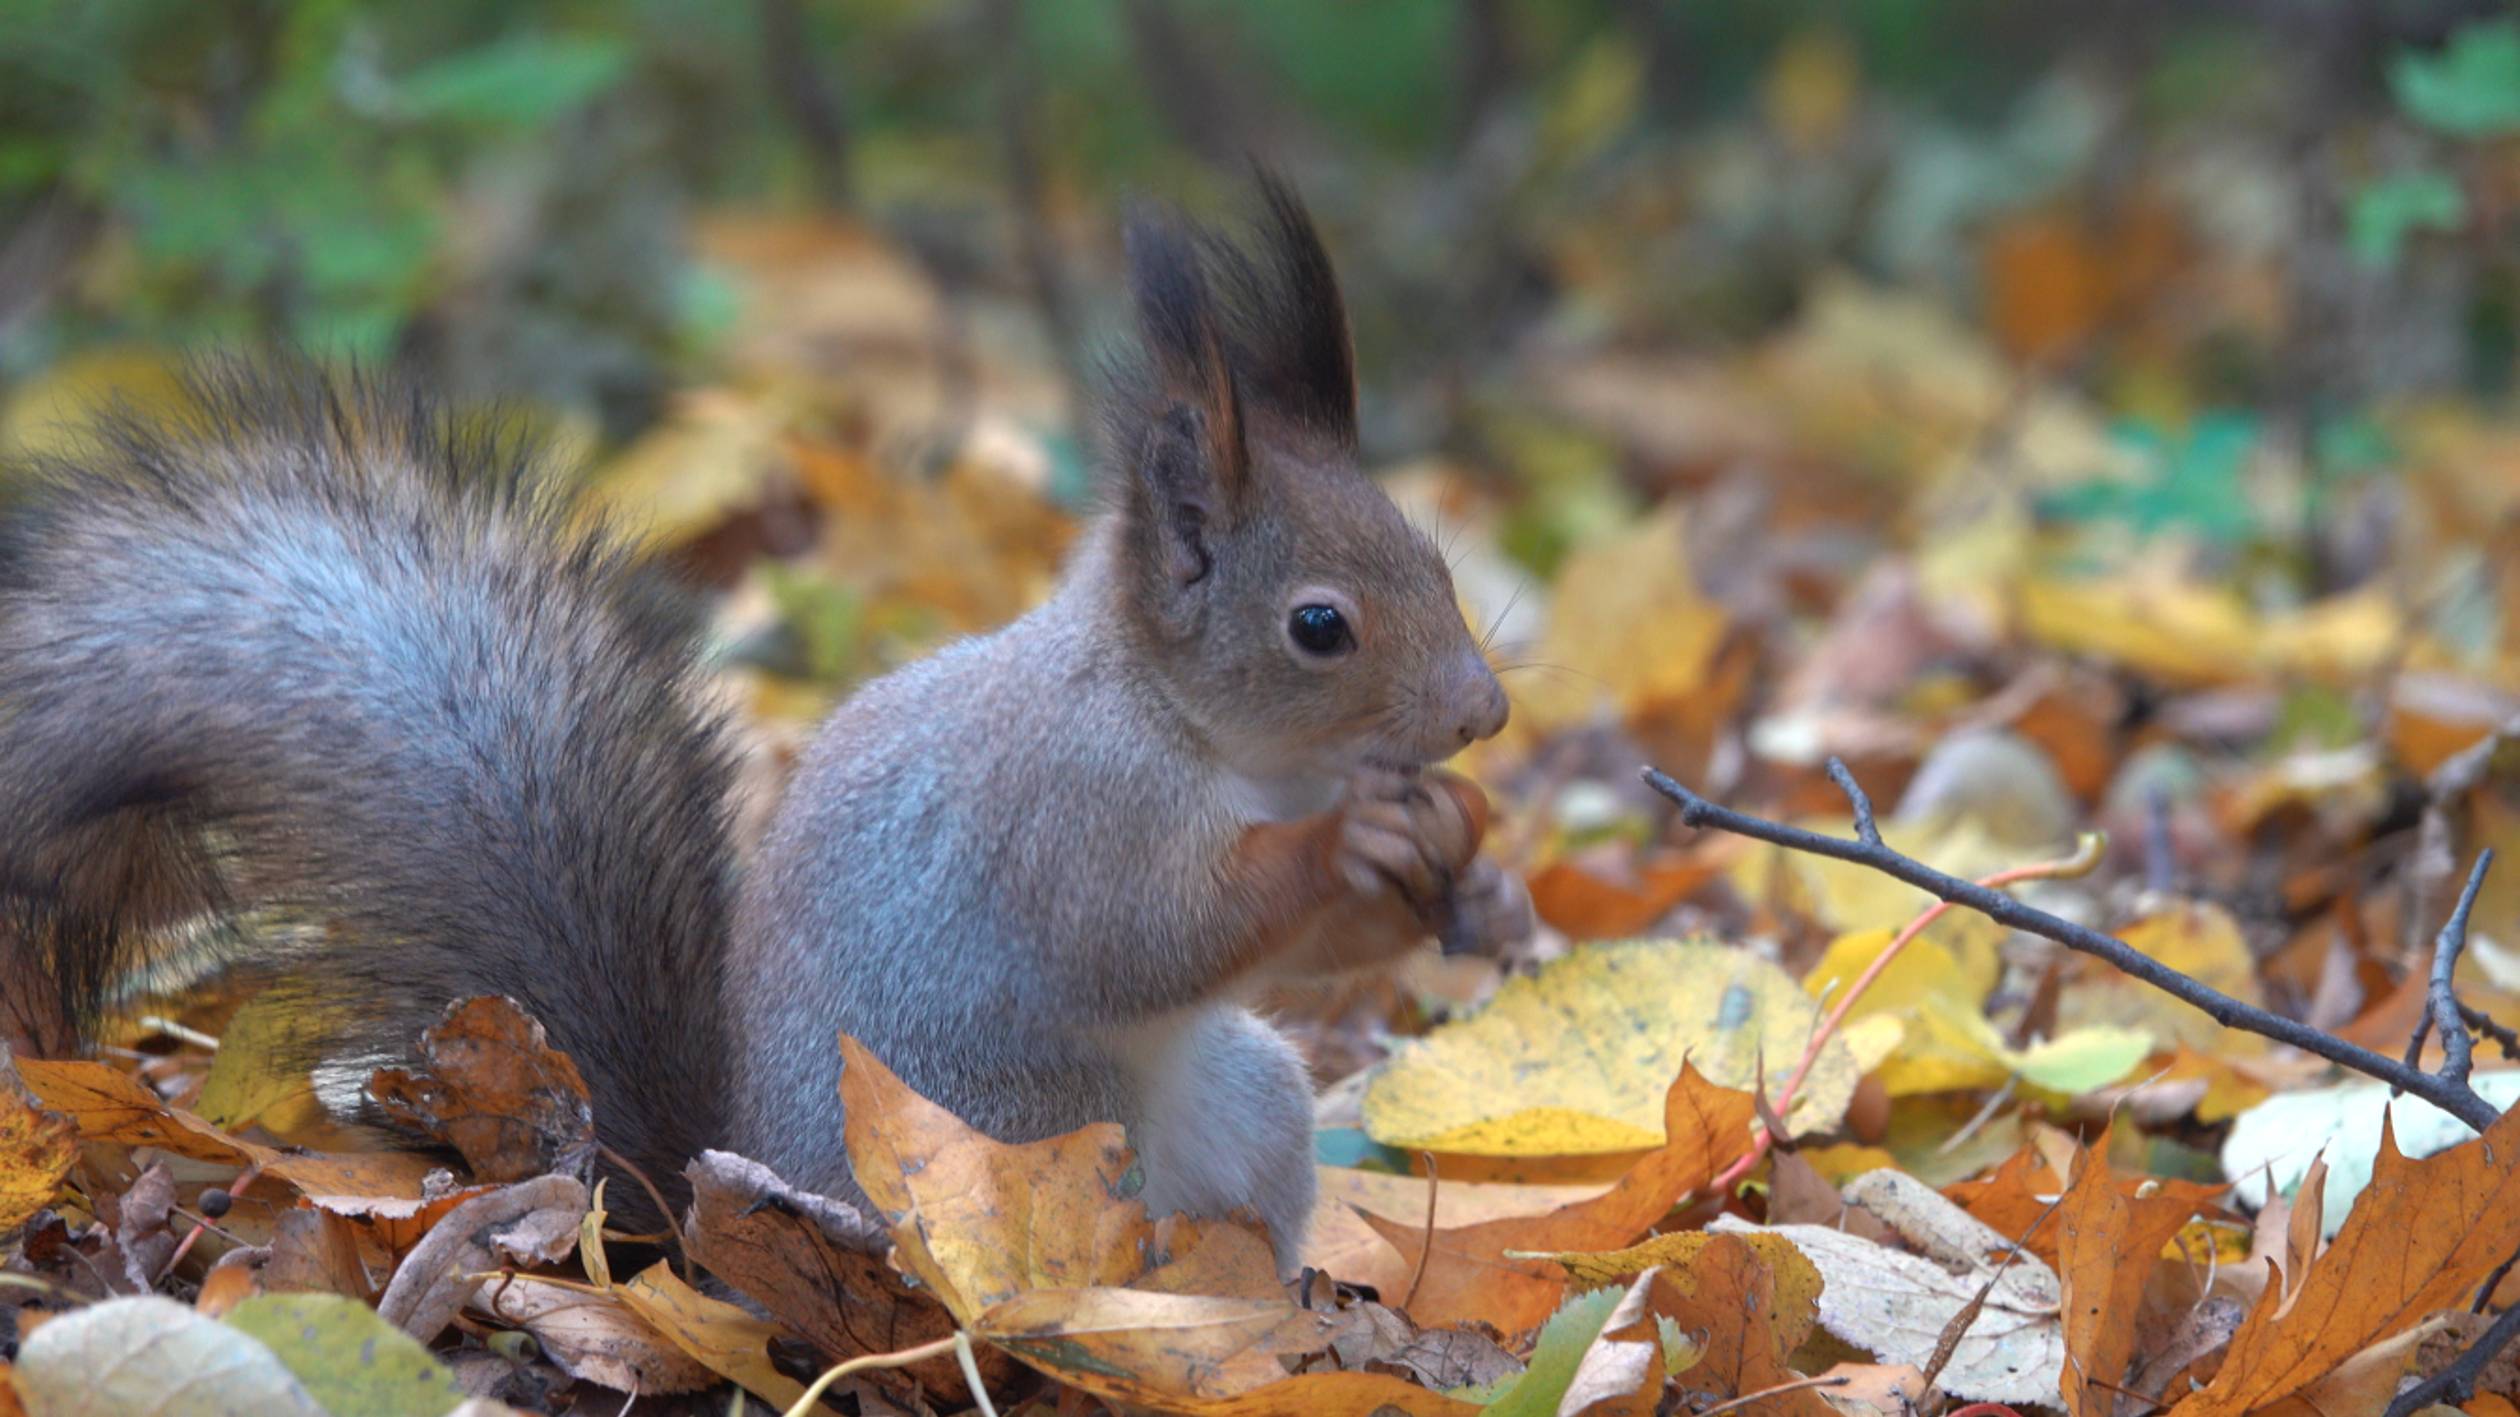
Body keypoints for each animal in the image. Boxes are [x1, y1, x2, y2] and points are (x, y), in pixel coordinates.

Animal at [0, 171, 1522, 1260]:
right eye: (1318, 626)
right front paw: (1348, 848)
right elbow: (1155, 932)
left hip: (1242, 1106)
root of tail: (699, 1224)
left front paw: (1465, 859)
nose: (1486, 712)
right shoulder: (1067, 807)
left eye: (1435, 556)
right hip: (1019, 1142)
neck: (1203, 735)